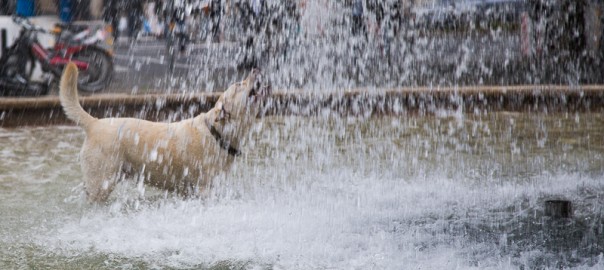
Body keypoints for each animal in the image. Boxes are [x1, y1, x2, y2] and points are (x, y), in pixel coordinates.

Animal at [59, 62, 272, 202]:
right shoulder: (205, 189)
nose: (256, 68)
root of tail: (94, 123)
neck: (217, 133)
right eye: (239, 84)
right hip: (101, 182)